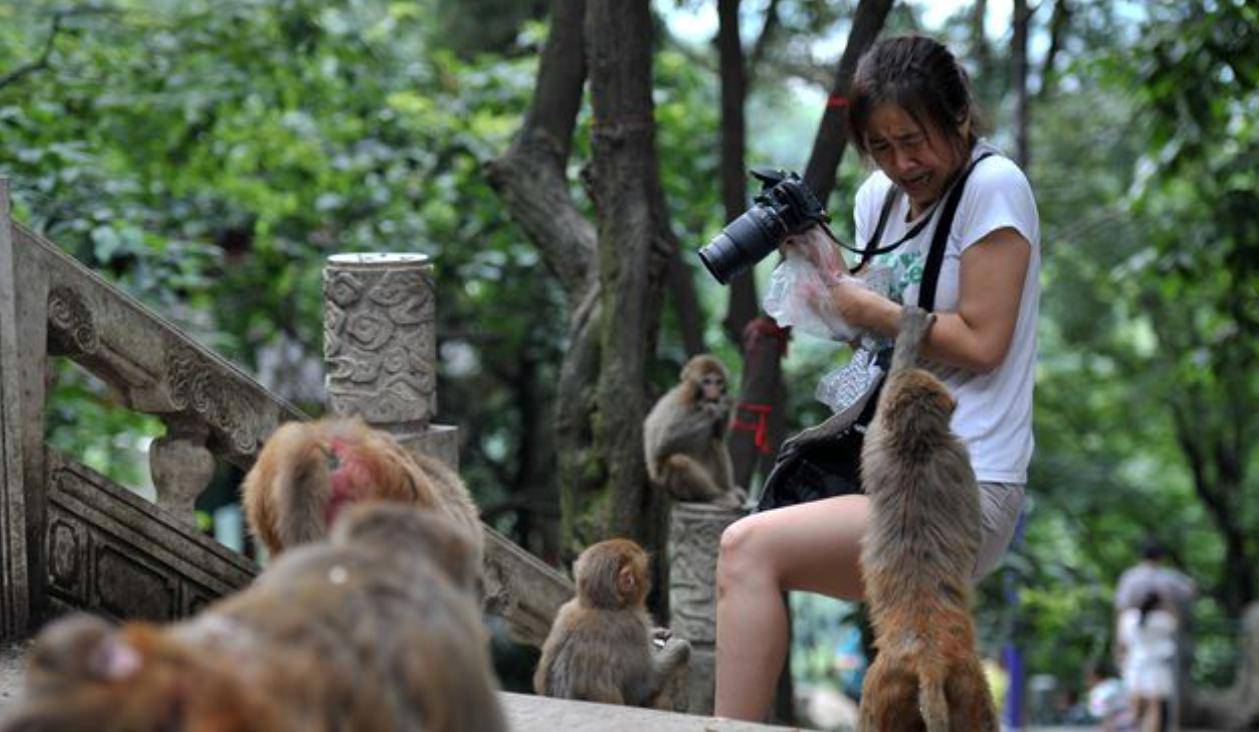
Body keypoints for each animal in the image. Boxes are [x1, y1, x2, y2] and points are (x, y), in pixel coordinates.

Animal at [531, 536, 689, 705]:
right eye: (645, 572)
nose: (650, 579)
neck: (602, 605)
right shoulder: (632, 626)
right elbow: (641, 687)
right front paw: (679, 648)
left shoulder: (565, 610)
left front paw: (657, 633)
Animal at [644, 355, 740, 508]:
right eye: (707, 382)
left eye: (718, 382)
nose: (714, 391)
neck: (695, 401)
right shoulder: (677, 403)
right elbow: (663, 442)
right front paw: (714, 410)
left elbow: (718, 435)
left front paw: (725, 407)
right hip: (670, 486)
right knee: (678, 461)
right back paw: (714, 495)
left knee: (715, 442)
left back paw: (727, 491)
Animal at [851, 303, 997, 730]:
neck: (916, 446)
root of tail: (928, 660)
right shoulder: (951, 455)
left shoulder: (884, 443)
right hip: (958, 682)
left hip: (901, 684)